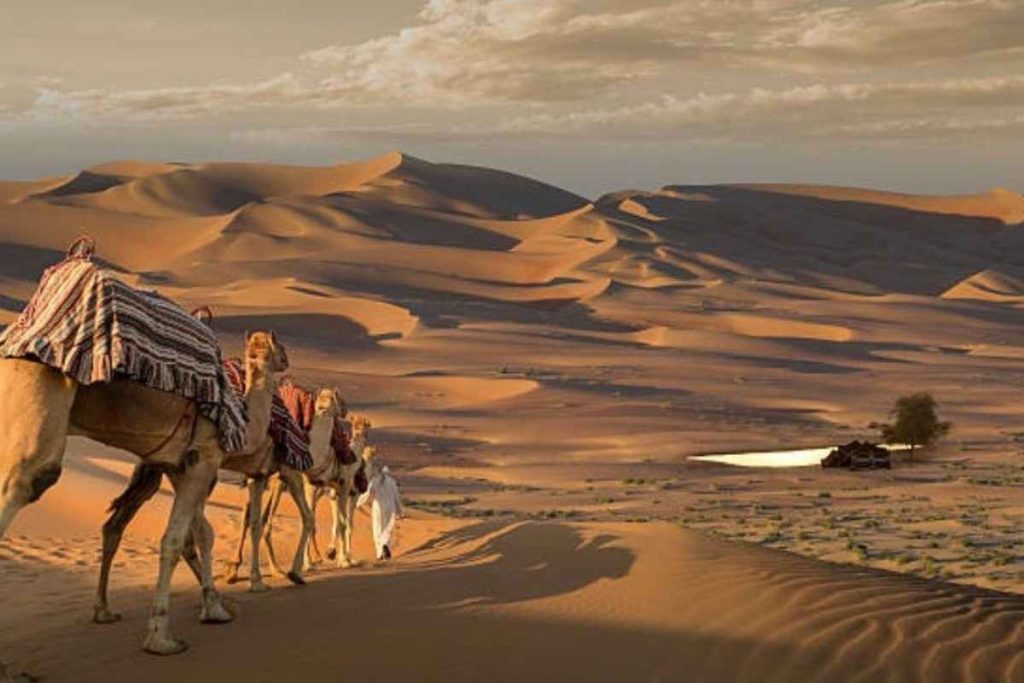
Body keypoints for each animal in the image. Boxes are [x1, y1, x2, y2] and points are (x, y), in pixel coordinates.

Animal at [0, 334, 281, 671]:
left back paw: (103, 611)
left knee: (109, 522)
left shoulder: (180, 466)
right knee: (28, 481)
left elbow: (201, 534)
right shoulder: (203, 459)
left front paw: (215, 606)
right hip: (42, 394)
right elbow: (175, 541)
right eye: (280, 351)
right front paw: (162, 637)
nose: (284, 361)